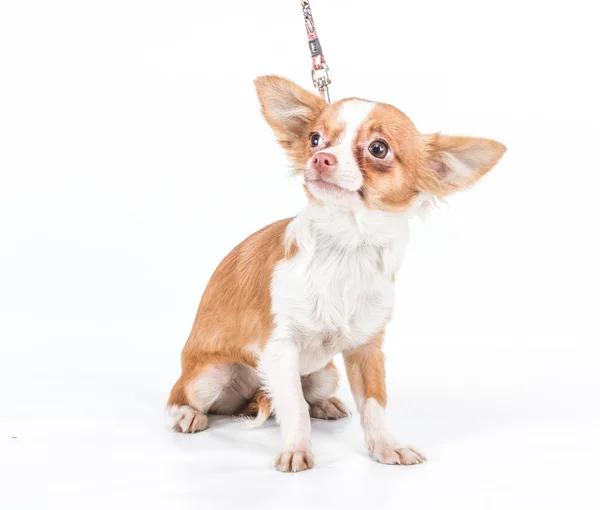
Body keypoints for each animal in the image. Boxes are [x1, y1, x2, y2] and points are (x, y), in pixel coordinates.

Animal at [166, 73, 504, 472]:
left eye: (378, 148)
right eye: (314, 139)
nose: (320, 157)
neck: (346, 247)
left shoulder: (367, 348)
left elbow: (374, 404)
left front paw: (386, 446)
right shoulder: (281, 347)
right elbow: (292, 406)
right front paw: (297, 449)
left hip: (326, 373)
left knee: (310, 395)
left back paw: (325, 404)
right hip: (209, 376)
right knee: (183, 396)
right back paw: (189, 415)